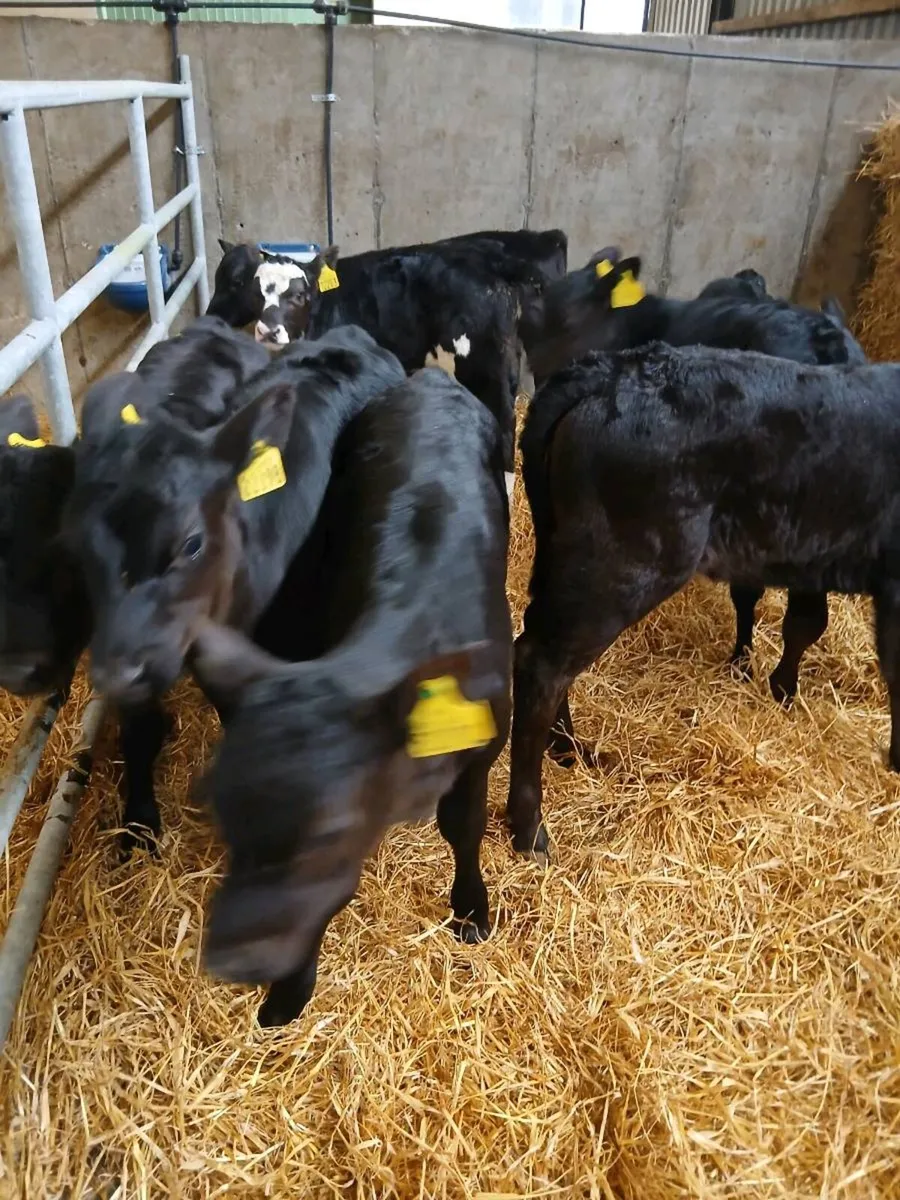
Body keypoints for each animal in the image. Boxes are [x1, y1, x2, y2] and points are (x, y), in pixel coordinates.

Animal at [190, 366, 512, 1027]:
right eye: (224, 812)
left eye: (327, 832)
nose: (231, 962)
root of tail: (432, 376)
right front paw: (289, 992)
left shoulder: (490, 738)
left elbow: (464, 827)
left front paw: (471, 909)